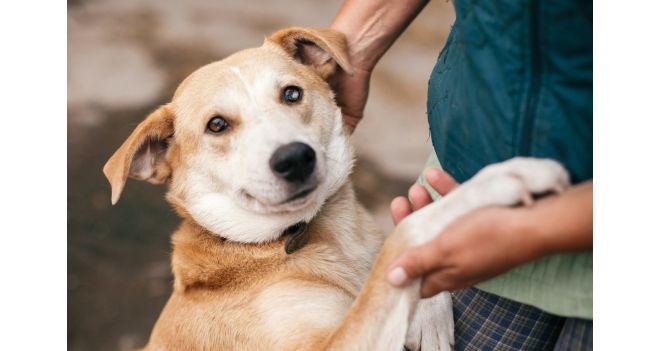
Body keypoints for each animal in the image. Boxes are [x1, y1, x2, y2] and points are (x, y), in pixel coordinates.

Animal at [104, 26, 572, 350]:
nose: (295, 158)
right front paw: (498, 181)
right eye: (216, 125)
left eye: (292, 94)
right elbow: (404, 237)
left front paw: (427, 311)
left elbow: (391, 266)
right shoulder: (332, 344)